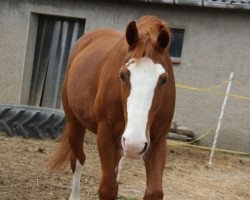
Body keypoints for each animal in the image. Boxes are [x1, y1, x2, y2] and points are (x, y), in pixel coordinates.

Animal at [49, 16, 176, 200]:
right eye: (122, 75)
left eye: (164, 79)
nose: (135, 144)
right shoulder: (106, 134)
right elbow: (108, 189)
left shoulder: (158, 140)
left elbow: (154, 191)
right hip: (75, 123)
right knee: (77, 159)